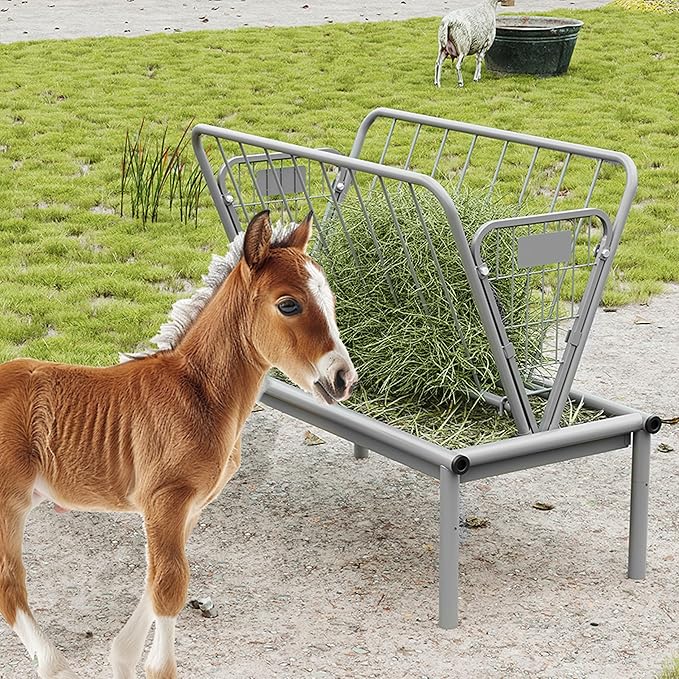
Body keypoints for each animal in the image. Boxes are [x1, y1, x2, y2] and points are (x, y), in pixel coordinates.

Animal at [0, 209, 357, 679]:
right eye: (288, 304)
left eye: (330, 300)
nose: (343, 378)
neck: (198, 393)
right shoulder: (165, 498)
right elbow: (170, 587)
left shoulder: (190, 506)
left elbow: (154, 581)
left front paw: (122, 656)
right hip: (9, 501)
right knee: (9, 585)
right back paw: (54, 664)